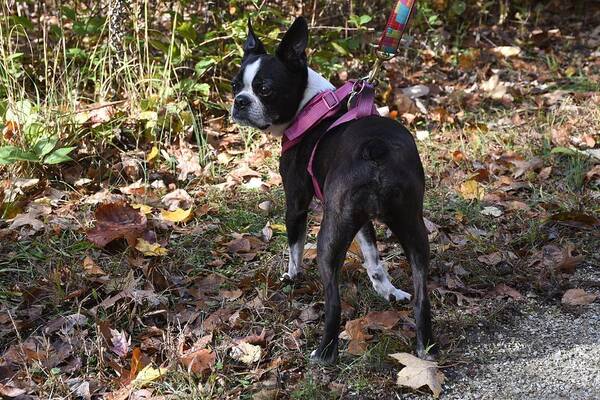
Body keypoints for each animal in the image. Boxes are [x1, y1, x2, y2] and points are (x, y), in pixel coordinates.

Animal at [232, 17, 434, 364]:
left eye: (264, 89)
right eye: (235, 86)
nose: (240, 102)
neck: (310, 107)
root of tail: (375, 148)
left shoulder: (296, 202)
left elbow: (295, 246)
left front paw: (291, 277)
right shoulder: (362, 220)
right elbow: (373, 257)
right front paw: (388, 290)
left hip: (331, 232)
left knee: (333, 301)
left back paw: (324, 351)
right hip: (411, 225)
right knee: (422, 293)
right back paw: (425, 344)